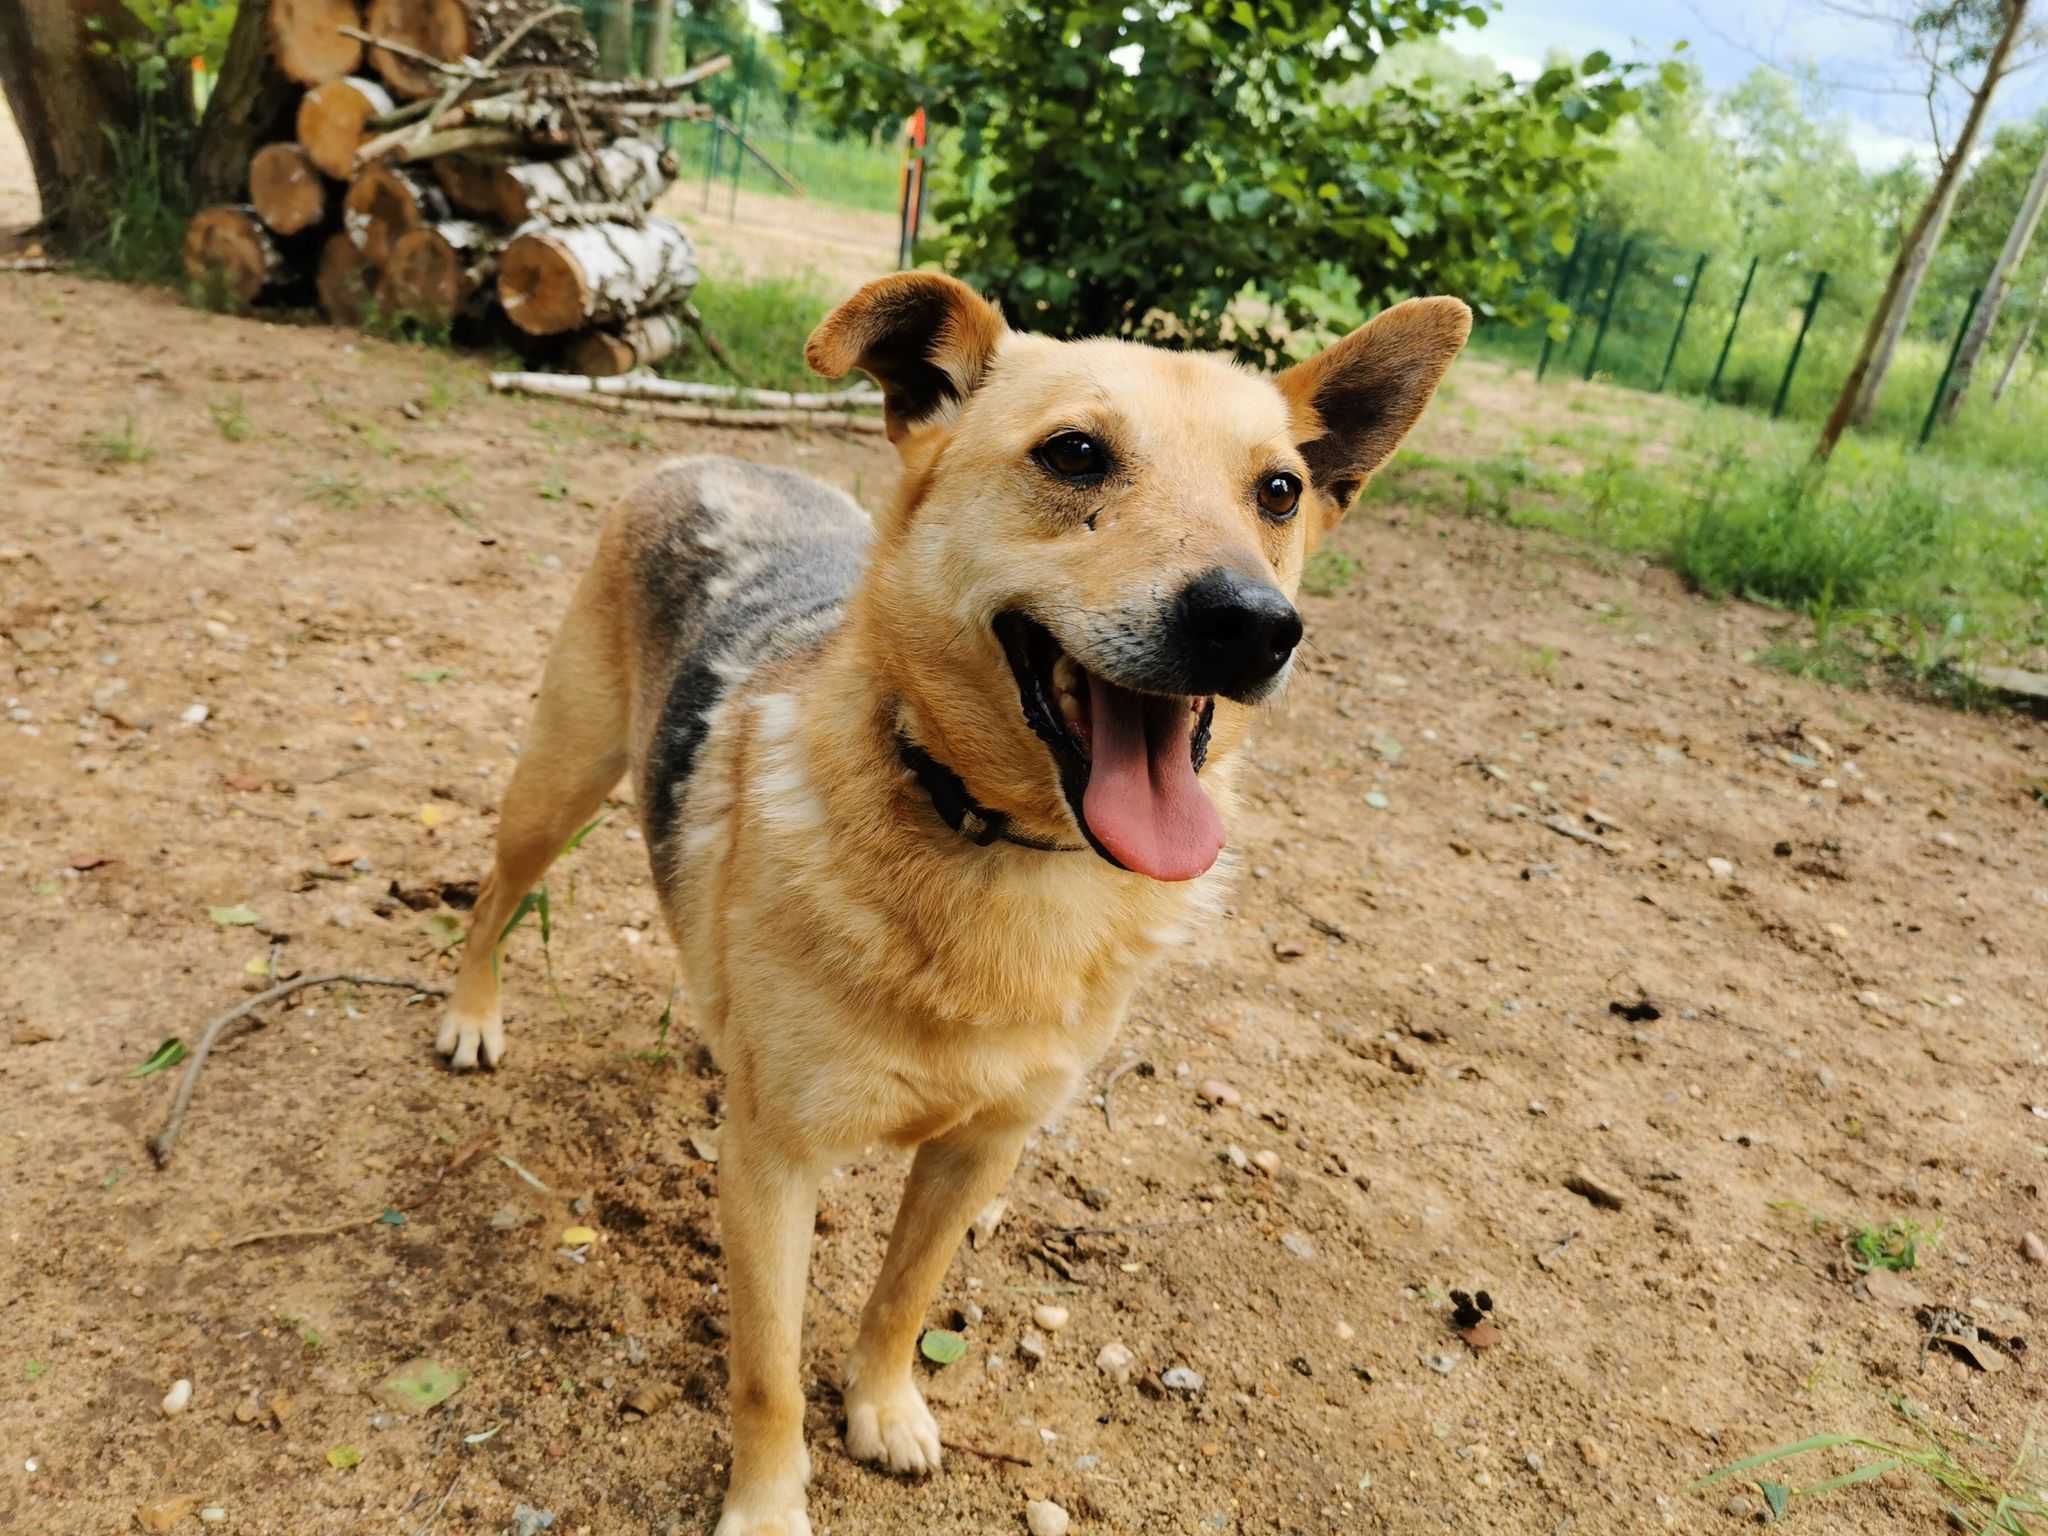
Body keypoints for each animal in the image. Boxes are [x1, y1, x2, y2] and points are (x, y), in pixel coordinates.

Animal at [440, 270, 1474, 1531]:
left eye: (1277, 490)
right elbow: (765, 1370)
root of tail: (708, 457)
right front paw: (769, 1506)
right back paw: (473, 1016)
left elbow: (900, 1297)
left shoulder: (975, 1148)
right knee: (493, 896)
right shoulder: (772, 1173)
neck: (994, 847)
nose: (1251, 624)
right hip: (562, 777)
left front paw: (884, 1409)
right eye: (1075, 454)